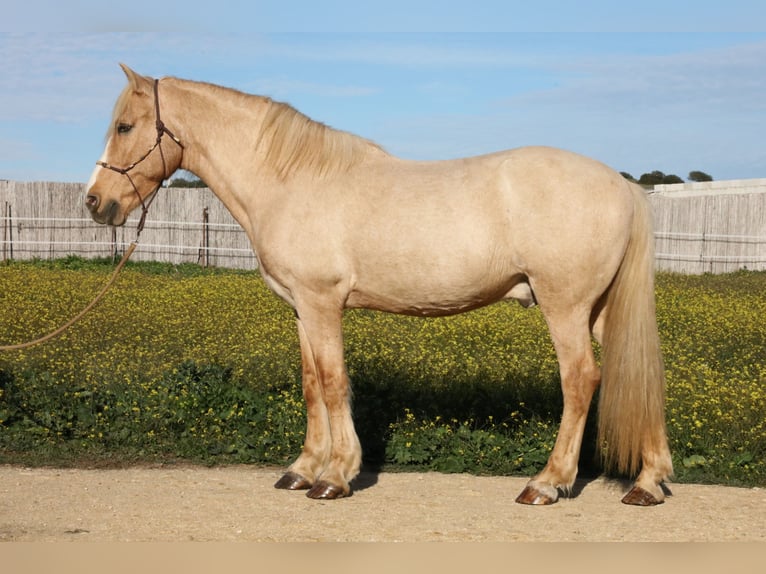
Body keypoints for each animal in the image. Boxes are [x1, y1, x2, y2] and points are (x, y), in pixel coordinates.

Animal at [87, 65, 672, 508]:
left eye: (125, 126)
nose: (95, 202)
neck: (292, 181)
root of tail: (620, 184)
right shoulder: (301, 309)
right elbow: (310, 384)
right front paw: (302, 469)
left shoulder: (323, 303)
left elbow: (332, 383)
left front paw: (334, 476)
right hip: (599, 309)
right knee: (638, 371)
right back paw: (647, 483)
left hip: (564, 306)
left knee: (581, 380)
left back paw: (546, 484)